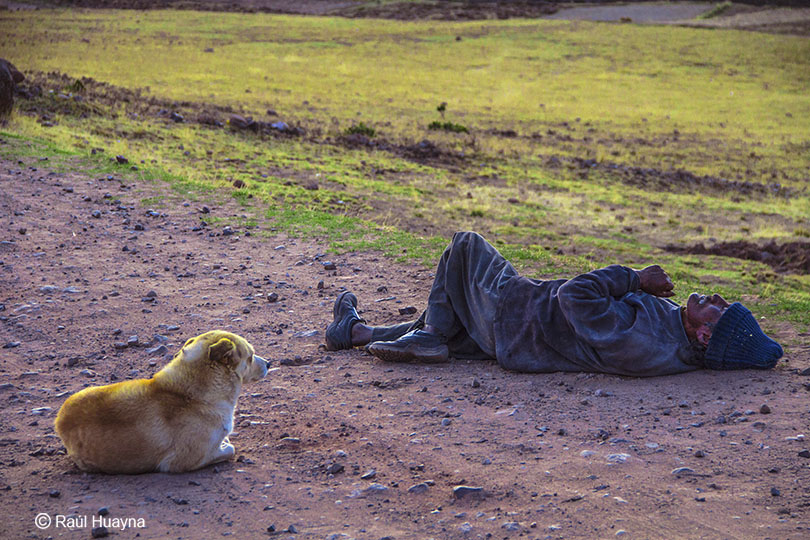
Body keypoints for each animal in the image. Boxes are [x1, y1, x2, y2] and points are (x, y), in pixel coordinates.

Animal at [54, 330, 268, 472]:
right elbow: (230, 448)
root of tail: (59, 421)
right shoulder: (182, 462)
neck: (193, 397)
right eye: (250, 357)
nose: (269, 363)